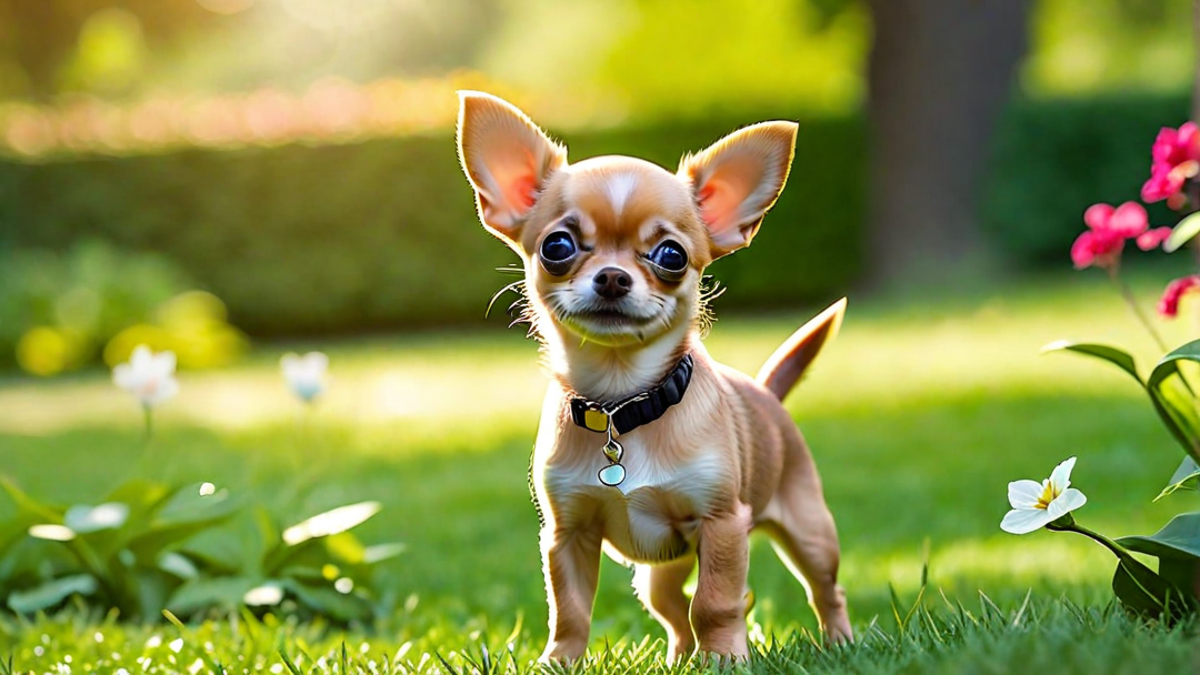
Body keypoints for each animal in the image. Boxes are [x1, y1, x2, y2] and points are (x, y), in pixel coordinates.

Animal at [451, 89, 854, 658]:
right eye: (557, 247)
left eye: (671, 255)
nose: (613, 277)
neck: (623, 404)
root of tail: (766, 393)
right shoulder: (567, 534)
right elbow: (570, 611)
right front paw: (559, 662)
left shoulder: (722, 524)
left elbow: (716, 602)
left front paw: (725, 659)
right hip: (659, 570)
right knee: (672, 609)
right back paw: (682, 658)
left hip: (810, 532)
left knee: (824, 590)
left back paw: (839, 642)